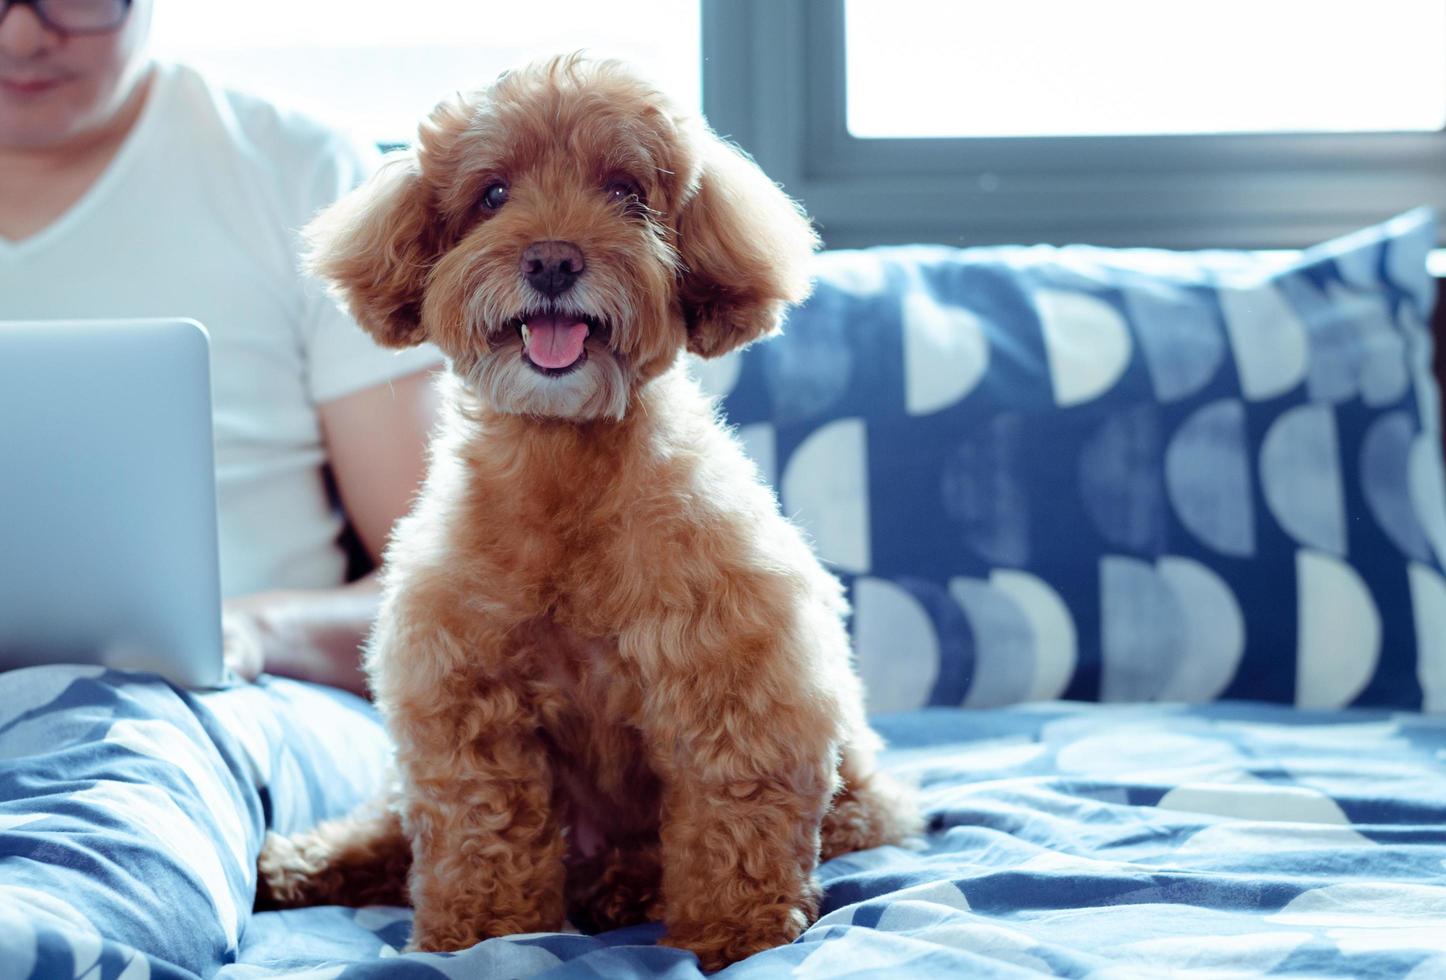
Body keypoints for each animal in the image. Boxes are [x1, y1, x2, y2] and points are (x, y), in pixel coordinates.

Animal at [257, 55, 913, 977]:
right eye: (494, 194)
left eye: (627, 193)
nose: (553, 260)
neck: (565, 470)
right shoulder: (463, 692)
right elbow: (479, 830)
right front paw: (479, 937)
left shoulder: (735, 683)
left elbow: (732, 821)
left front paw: (735, 936)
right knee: (389, 833)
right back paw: (296, 864)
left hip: (857, 789)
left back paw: (626, 888)